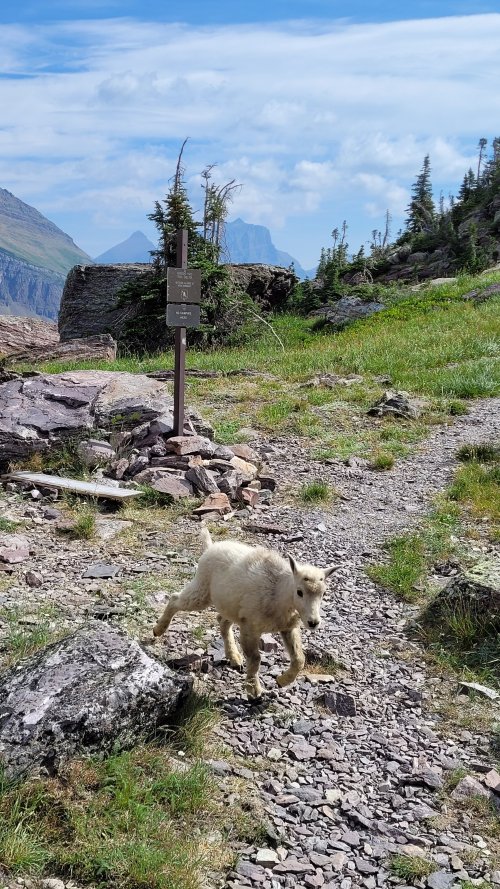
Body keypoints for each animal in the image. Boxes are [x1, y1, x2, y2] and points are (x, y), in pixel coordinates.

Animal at [152, 528, 335, 699]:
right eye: (299, 592)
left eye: (323, 593)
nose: (313, 622)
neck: (279, 593)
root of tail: (210, 547)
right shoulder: (250, 626)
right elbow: (255, 659)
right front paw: (254, 690)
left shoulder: (288, 627)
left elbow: (299, 659)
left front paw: (282, 681)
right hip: (202, 591)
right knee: (175, 599)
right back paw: (158, 630)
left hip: (230, 606)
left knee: (222, 622)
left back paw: (234, 658)